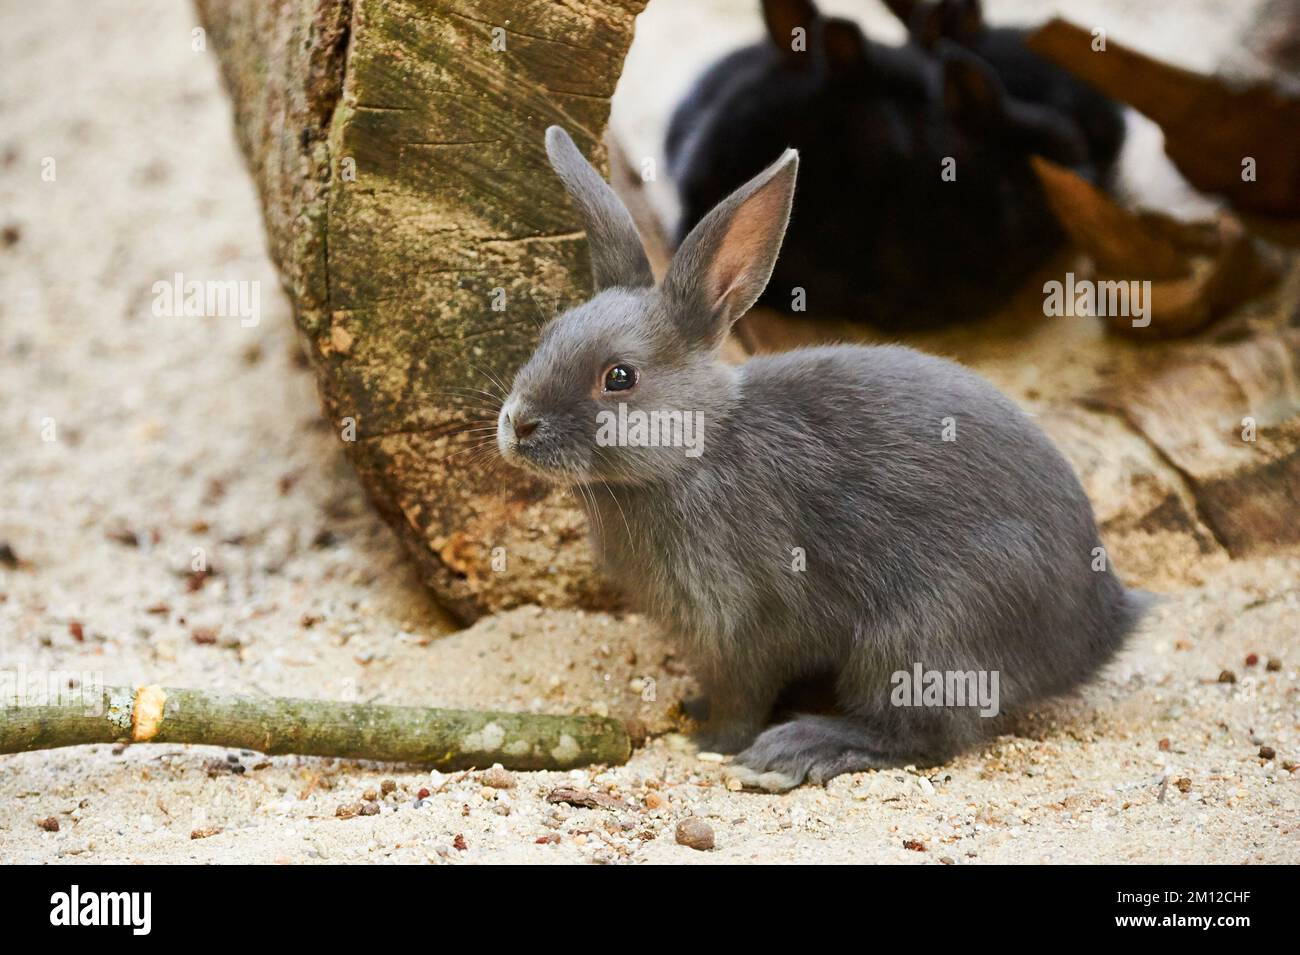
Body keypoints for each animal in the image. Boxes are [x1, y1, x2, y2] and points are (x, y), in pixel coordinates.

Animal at [491, 123, 1144, 789]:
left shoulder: (741, 627)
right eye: (547, 335)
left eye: (620, 377)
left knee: (931, 735)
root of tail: (1098, 629)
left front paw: (711, 741)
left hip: (920, 636)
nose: (518, 424)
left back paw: (801, 750)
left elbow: (742, 698)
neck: (696, 451)